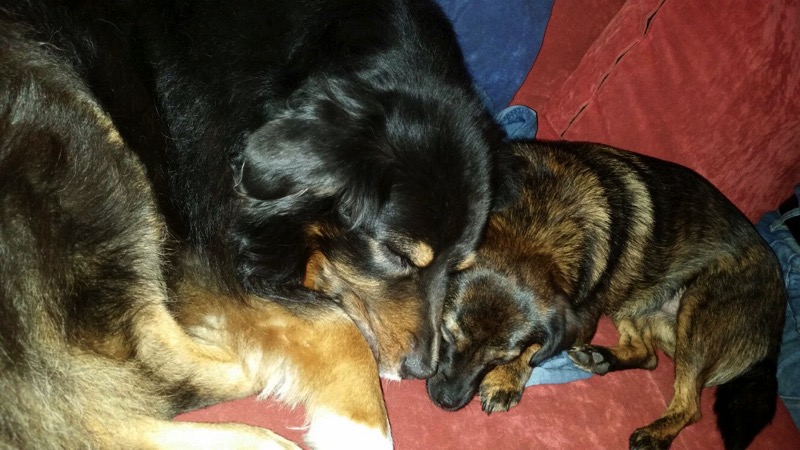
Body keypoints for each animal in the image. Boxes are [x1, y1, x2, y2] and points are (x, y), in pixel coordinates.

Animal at [426, 141, 787, 449]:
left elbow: (536, 347)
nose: (445, 401)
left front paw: (506, 379)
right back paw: (601, 358)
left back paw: (654, 435)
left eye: (502, 357)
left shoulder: (580, 318)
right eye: (447, 333)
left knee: (690, 404)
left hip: (698, 311)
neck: (535, 223)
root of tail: (775, 337)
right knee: (649, 355)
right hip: (635, 303)